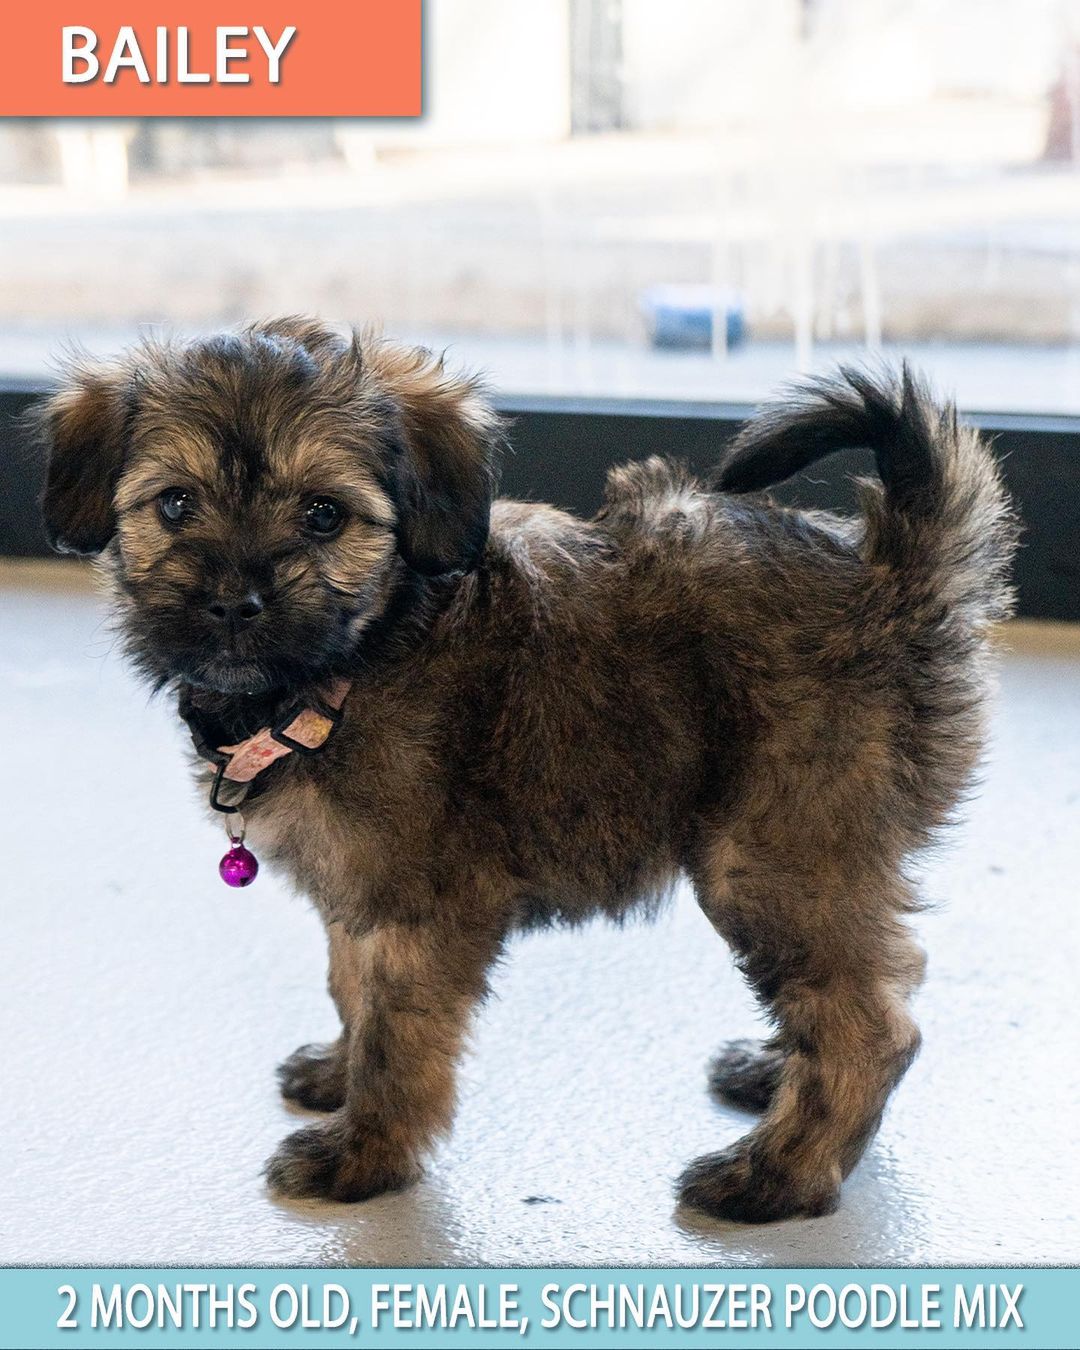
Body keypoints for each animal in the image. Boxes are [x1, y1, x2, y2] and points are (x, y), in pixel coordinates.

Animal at [31, 321, 1015, 1231]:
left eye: (322, 515)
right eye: (175, 504)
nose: (236, 601)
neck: (347, 667)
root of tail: (895, 573)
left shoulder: (422, 910)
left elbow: (397, 1037)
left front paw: (364, 1153)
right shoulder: (360, 894)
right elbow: (351, 988)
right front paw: (337, 1076)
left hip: (769, 855)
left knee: (869, 1026)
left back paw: (775, 1175)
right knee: (862, 982)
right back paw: (772, 1071)